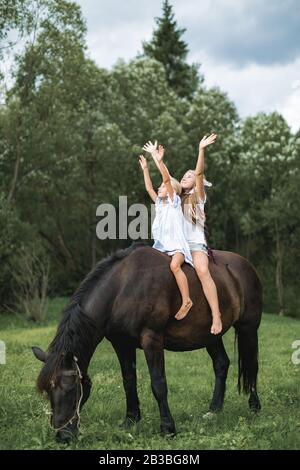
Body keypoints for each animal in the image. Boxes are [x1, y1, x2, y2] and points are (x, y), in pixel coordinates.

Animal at [32, 244, 262, 442]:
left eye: (71, 388)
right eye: (48, 391)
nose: (63, 436)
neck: (122, 289)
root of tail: (245, 265)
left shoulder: (152, 339)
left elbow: (158, 384)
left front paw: (168, 428)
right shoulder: (121, 343)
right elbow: (128, 380)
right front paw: (131, 419)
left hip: (249, 329)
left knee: (252, 366)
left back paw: (254, 407)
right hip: (211, 334)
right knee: (221, 364)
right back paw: (214, 410)